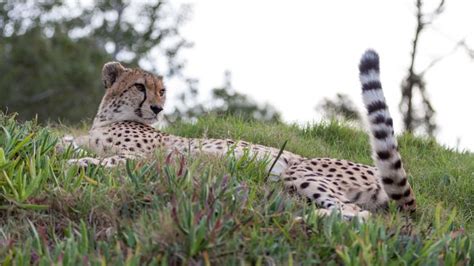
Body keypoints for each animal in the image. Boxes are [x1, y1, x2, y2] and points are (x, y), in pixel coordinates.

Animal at [65, 50, 416, 220]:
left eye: (161, 91)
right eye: (140, 87)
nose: (157, 108)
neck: (108, 118)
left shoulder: (148, 158)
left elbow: (110, 160)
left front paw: (78, 164)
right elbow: (69, 144)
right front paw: (71, 153)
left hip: (300, 171)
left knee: (357, 213)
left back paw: (300, 219)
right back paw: (300, 216)